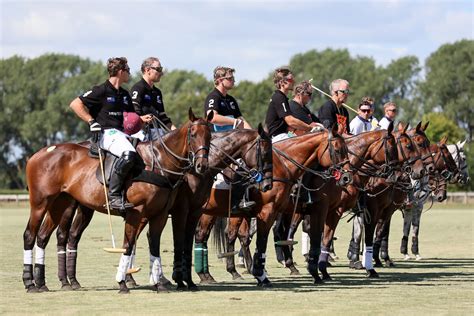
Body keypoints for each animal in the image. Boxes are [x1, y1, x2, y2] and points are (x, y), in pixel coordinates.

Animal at [23, 108, 212, 294]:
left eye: (209, 136)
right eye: (193, 134)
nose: (202, 166)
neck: (159, 162)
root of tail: (37, 154)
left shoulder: (161, 214)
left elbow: (154, 245)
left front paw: (159, 284)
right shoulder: (137, 212)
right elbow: (128, 244)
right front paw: (123, 283)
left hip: (60, 203)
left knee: (43, 236)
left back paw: (42, 283)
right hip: (40, 203)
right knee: (30, 235)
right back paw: (30, 283)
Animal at [35, 125, 272, 292]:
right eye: (265, 152)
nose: (267, 184)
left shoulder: (193, 211)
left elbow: (179, 242)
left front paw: (178, 279)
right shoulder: (181, 210)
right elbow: (179, 242)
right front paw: (179, 279)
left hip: (86, 208)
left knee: (72, 236)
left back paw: (72, 281)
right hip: (68, 205)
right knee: (62, 235)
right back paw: (63, 280)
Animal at [194, 125, 350, 286]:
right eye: (338, 150)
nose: (346, 177)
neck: (283, 166)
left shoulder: (284, 211)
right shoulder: (274, 211)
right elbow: (265, 241)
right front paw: (261, 275)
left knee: (207, 235)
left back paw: (208, 274)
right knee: (214, 234)